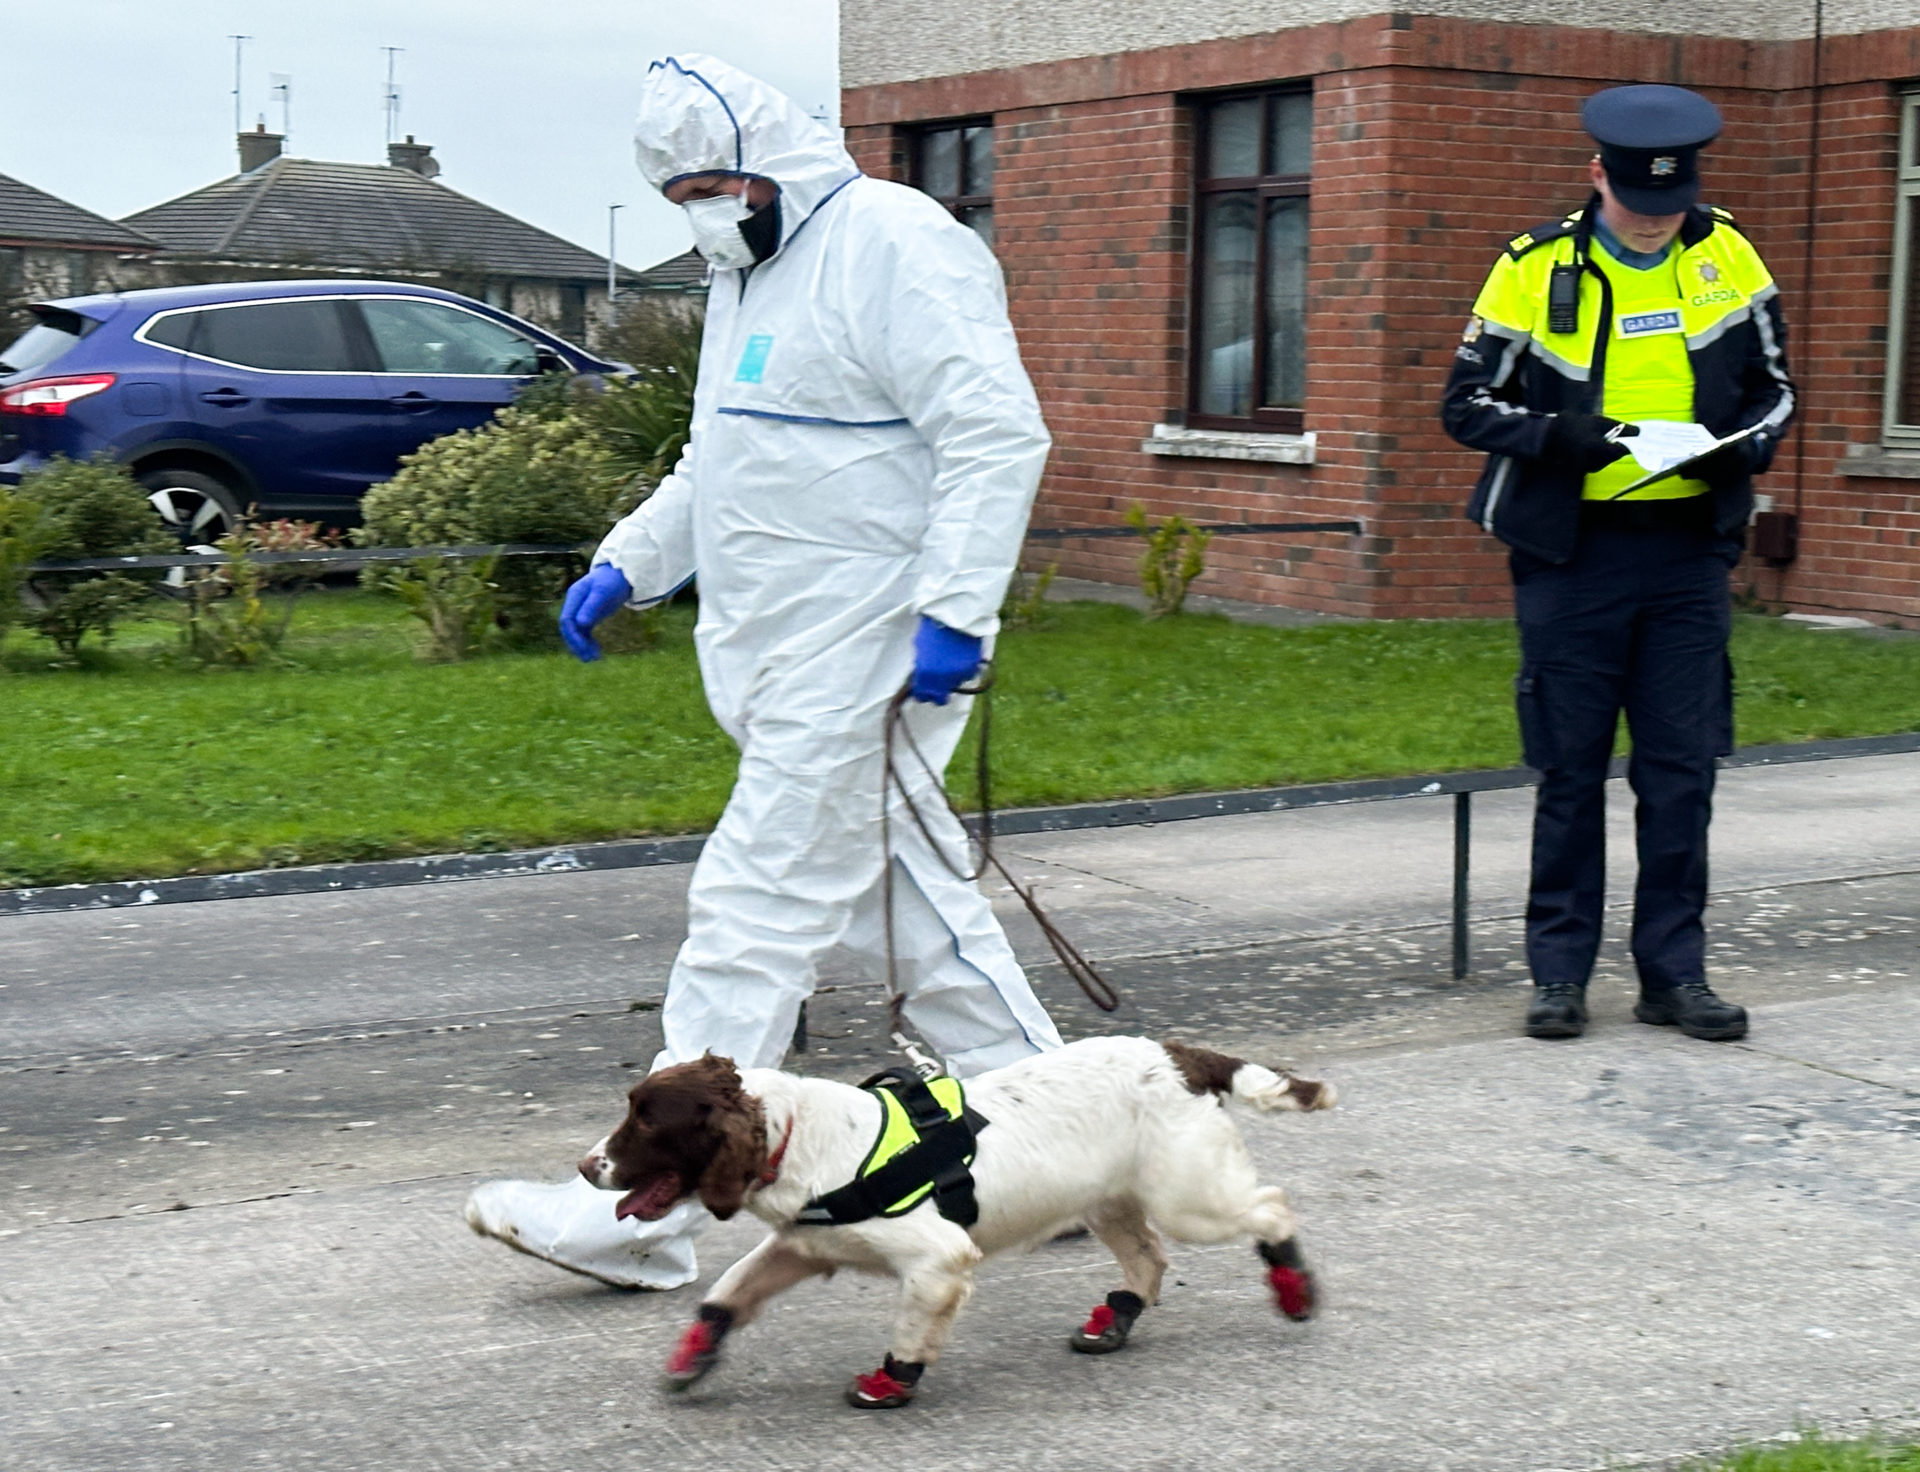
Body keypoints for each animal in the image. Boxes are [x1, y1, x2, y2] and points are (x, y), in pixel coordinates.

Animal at [576, 1028, 1344, 1412]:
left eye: (647, 1121)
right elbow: (728, 1293)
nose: (586, 1167)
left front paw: (891, 1382)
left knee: (1269, 1207)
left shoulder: (937, 1260)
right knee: (1149, 1260)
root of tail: (1178, 1056)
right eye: (632, 1109)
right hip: (1109, 1199)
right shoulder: (803, 1245)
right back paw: (1113, 1321)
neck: (793, 1135)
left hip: (1188, 1196)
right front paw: (692, 1357)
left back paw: (1294, 1288)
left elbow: (912, 1332)